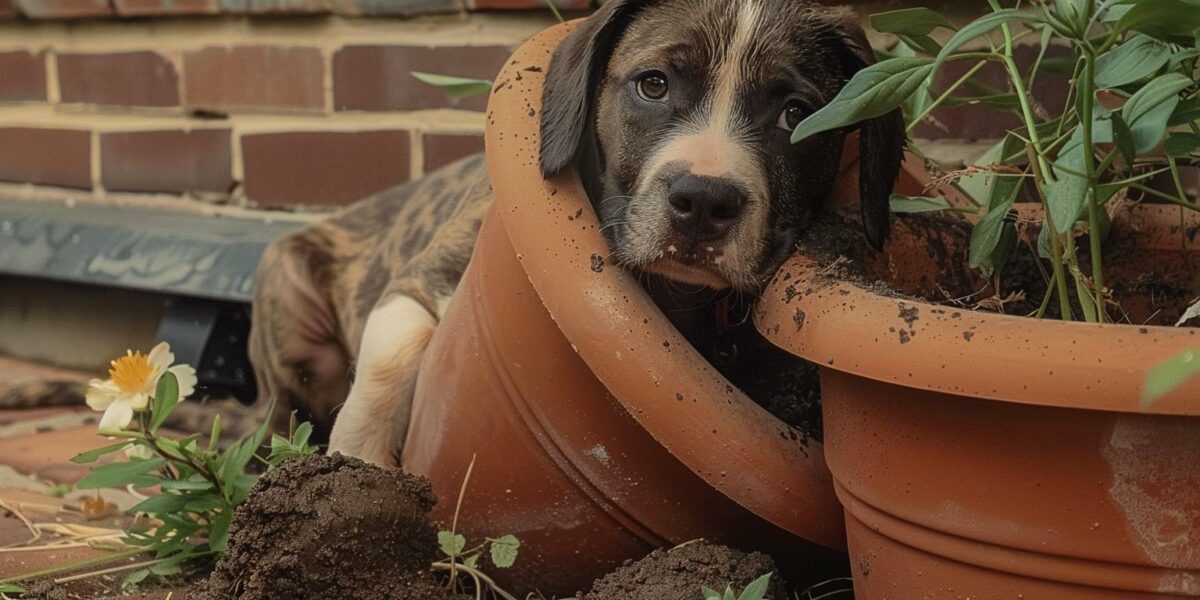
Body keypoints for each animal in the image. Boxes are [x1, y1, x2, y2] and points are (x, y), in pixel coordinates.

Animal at [246, 0, 902, 465]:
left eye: (796, 114)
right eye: (653, 84)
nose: (704, 201)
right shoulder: (424, 276)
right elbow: (388, 361)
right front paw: (355, 470)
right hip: (284, 292)